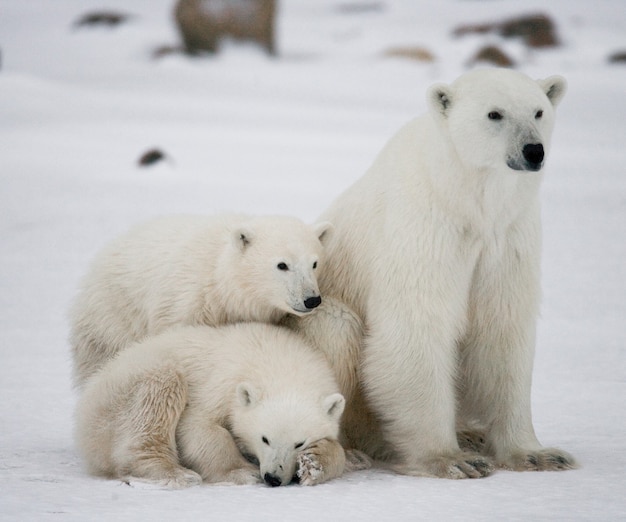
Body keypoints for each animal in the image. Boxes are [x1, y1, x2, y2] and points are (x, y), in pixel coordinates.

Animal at [68, 211, 332, 386]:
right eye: (282, 265)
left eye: (314, 263)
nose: (311, 299)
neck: (221, 284)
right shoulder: (186, 307)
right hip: (112, 316)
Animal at [75, 322, 346, 486]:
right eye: (264, 438)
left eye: (299, 443)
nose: (273, 478)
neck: (279, 361)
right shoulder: (221, 382)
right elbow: (198, 427)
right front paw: (242, 471)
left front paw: (315, 464)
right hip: (120, 395)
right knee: (160, 386)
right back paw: (176, 472)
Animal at [314, 68, 576, 476]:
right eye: (495, 114)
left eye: (538, 111)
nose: (533, 151)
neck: (468, 201)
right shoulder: (427, 227)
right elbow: (418, 325)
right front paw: (453, 460)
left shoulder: (508, 238)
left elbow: (503, 330)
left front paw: (538, 454)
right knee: (336, 328)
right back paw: (347, 453)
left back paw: (471, 433)